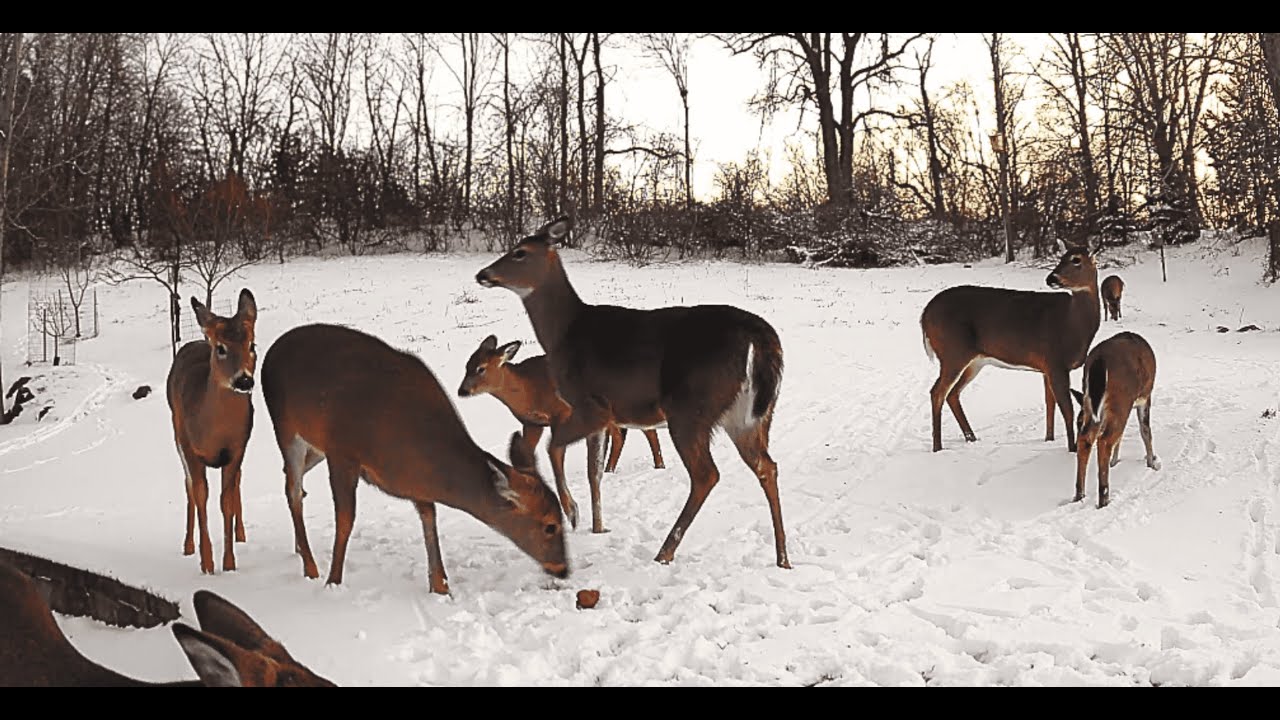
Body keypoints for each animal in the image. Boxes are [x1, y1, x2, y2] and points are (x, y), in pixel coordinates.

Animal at [166, 289, 258, 575]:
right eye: (221, 348)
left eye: (252, 345)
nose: (244, 380)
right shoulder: (189, 447)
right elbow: (200, 495)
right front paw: (206, 563)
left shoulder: (237, 449)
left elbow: (225, 500)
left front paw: (229, 564)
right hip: (176, 433)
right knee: (187, 486)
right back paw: (188, 545)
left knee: (238, 481)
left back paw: (241, 534)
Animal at [260, 323, 569, 595]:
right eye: (550, 525)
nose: (563, 569)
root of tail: (272, 350)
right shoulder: (343, 452)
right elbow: (346, 520)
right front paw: (333, 582)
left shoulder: (415, 482)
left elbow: (429, 520)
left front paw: (441, 587)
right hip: (286, 427)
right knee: (292, 489)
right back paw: (310, 566)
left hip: (315, 447)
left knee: (294, 481)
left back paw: (300, 549)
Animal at [457, 335, 665, 528]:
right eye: (467, 365)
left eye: (481, 368)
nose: (462, 391)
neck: (528, 389)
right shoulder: (533, 424)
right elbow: (526, 455)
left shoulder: (563, 414)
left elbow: (555, 454)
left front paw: (572, 511)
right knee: (623, 435)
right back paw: (613, 469)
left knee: (644, 431)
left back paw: (658, 465)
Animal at [921, 241, 1102, 453]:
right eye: (1062, 257)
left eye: (1076, 259)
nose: (1051, 278)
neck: (1072, 324)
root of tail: (924, 315)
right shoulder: (1056, 362)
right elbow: (1067, 410)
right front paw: (1072, 448)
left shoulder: (1046, 367)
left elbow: (1049, 403)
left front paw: (1049, 439)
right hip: (953, 352)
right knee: (937, 392)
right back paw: (938, 447)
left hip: (974, 361)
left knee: (952, 394)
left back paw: (971, 438)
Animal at [1069, 331, 1160, 508]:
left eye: (1077, 422)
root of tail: (1099, 360)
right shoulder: (1145, 397)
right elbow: (1145, 431)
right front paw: (1151, 463)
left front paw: (1115, 461)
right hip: (1121, 400)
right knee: (1105, 440)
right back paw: (1104, 497)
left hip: (1090, 401)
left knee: (1086, 438)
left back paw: (1079, 494)